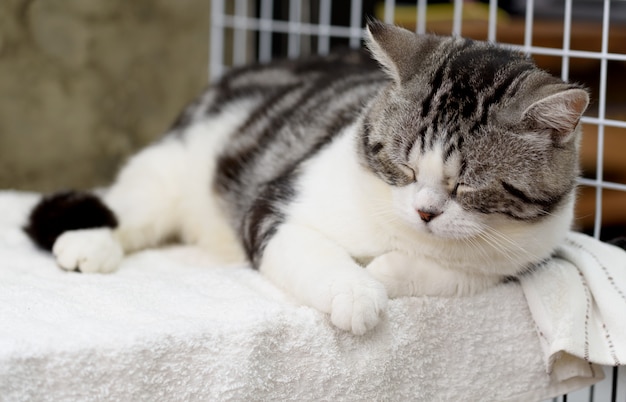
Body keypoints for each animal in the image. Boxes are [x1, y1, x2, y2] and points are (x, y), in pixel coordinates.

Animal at [26, 22, 588, 336]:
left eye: (466, 186)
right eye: (404, 165)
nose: (425, 211)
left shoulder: (523, 261)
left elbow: (449, 272)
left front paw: (384, 271)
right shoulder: (273, 205)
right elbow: (313, 251)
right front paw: (358, 293)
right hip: (172, 169)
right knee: (126, 207)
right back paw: (88, 244)